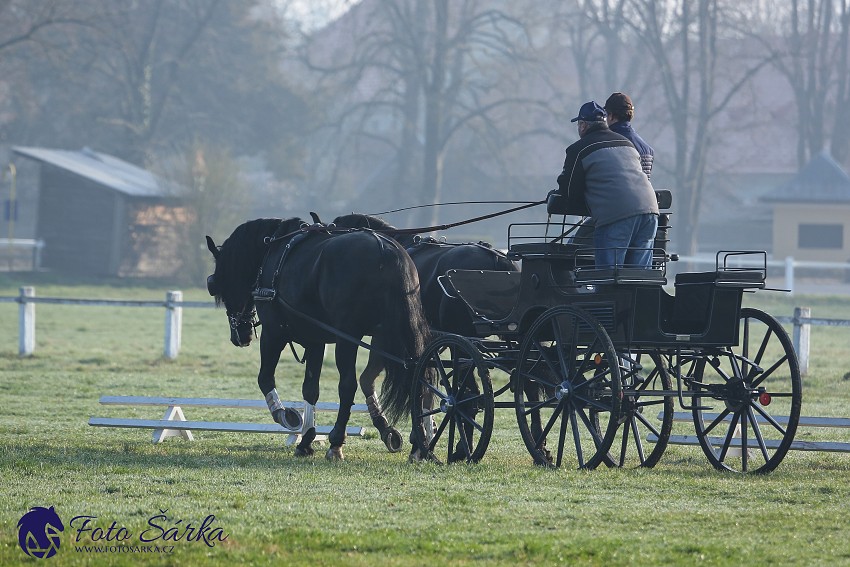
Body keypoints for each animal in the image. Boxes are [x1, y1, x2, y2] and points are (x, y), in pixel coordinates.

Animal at [206, 217, 430, 462]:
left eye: (219, 285)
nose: (241, 336)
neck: (273, 249)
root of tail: (384, 250)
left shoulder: (273, 334)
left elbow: (264, 378)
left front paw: (286, 416)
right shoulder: (315, 341)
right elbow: (310, 389)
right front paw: (306, 439)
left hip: (348, 338)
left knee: (348, 385)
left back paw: (337, 442)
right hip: (389, 337)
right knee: (414, 379)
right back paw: (417, 443)